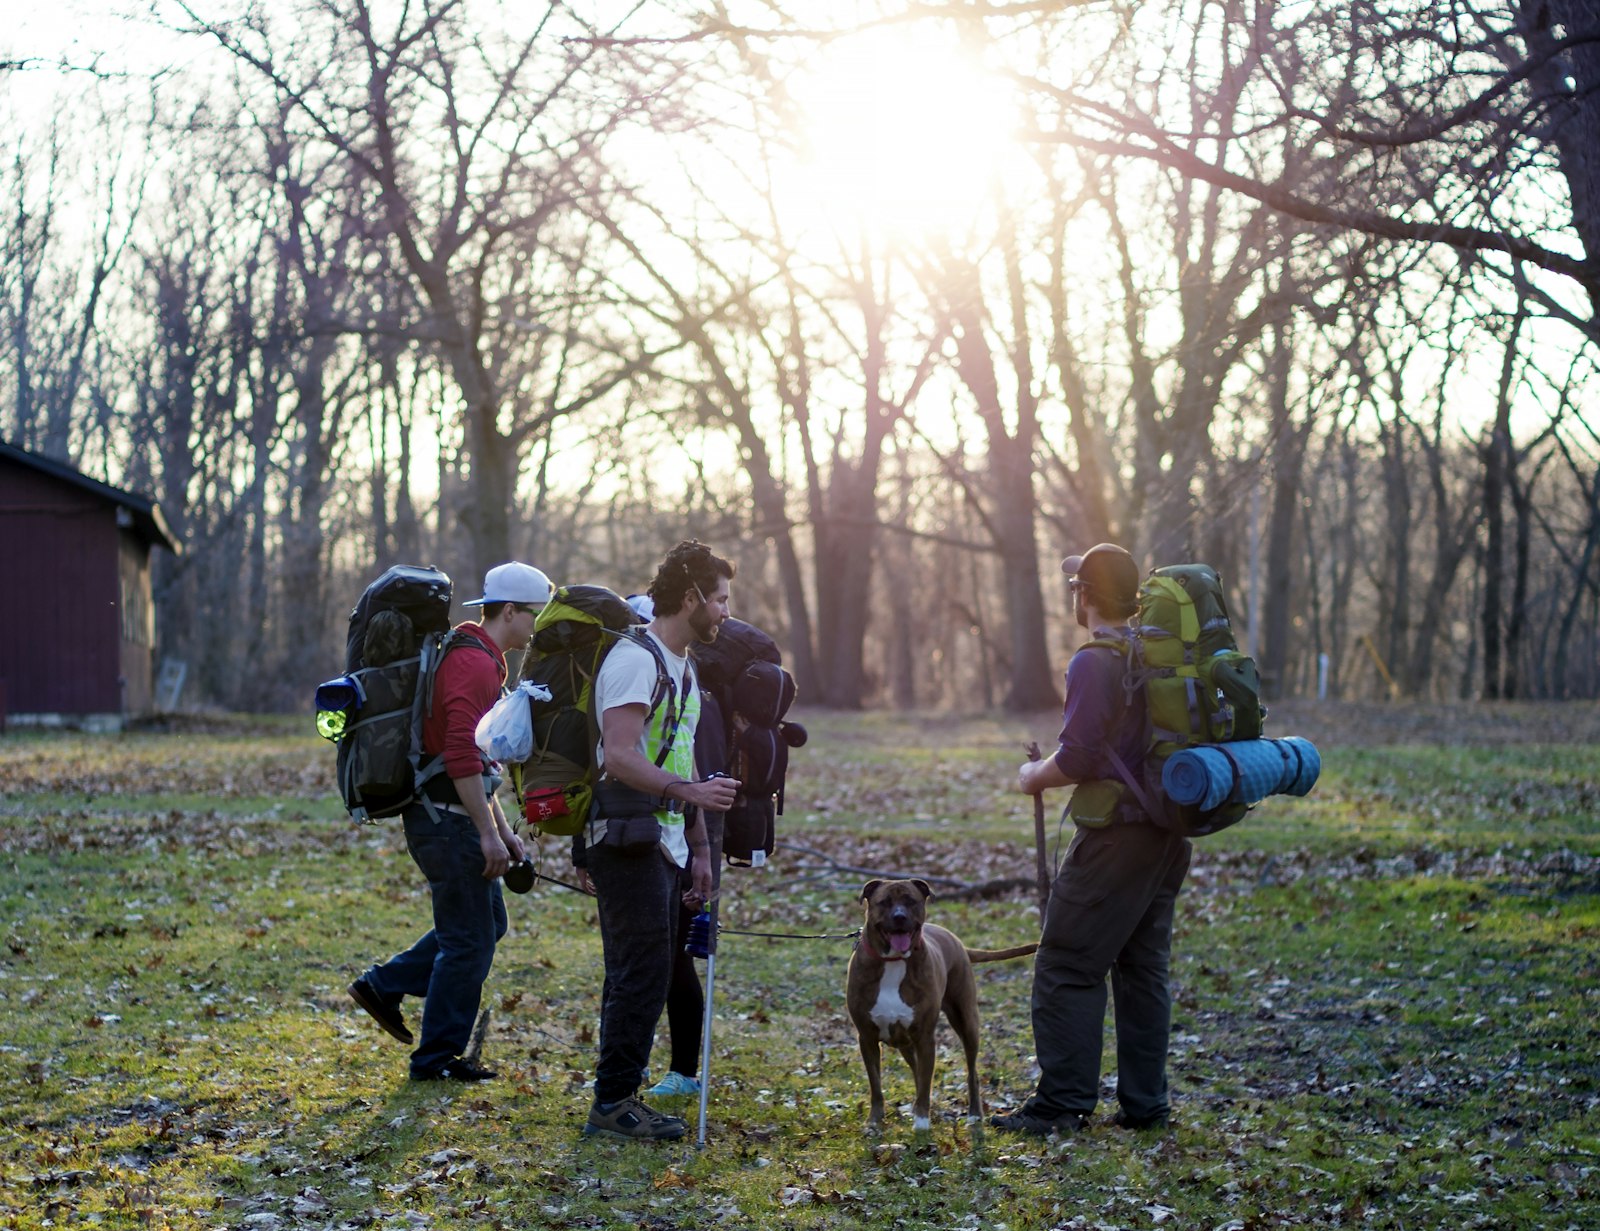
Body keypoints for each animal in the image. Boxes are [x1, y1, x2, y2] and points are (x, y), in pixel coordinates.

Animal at [851, 877, 1036, 1126]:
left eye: (911, 901)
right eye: (885, 902)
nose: (899, 916)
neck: (893, 961)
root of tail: (957, 940)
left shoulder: (925, 1037)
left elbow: (925, 1083)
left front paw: (921, 1123)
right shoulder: (867, 1038)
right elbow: (876, 1085)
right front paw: (874, 1122)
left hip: (967, 1022)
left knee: (971, 1072)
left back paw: (974, 1114)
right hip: (905, 1042)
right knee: (916, 1070)